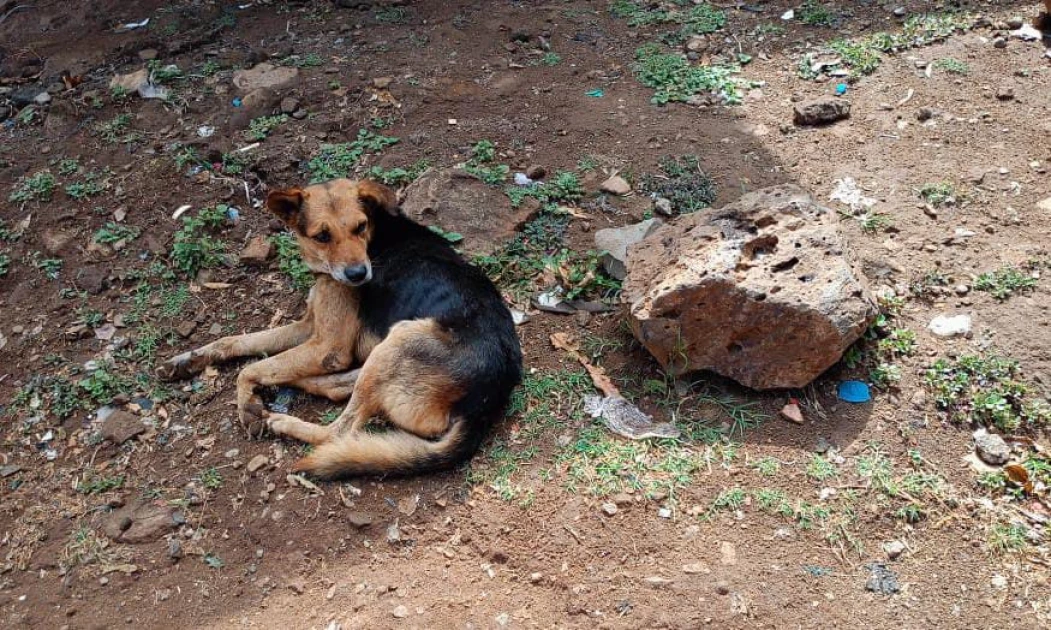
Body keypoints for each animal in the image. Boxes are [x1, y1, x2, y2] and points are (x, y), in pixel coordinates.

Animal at [158, 177, 521, 477]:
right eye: (322, 236)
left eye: (360, 227)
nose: (359, 275)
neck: (380, 230)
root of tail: (485, 404)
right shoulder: (310, 327)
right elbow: (238, 342)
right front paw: (188, 359)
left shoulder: (327, 346)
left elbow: (250, 368)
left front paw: (247, 405)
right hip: (384, 352)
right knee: (335, 387)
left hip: (400, 339)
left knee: (338, 430)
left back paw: (282, 420)